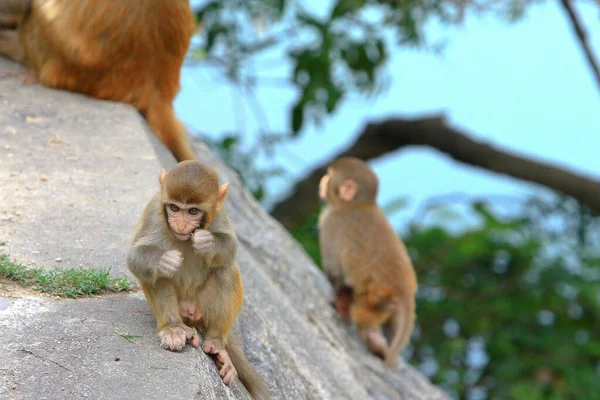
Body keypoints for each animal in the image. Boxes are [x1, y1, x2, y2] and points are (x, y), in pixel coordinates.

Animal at [127, 160, 268, 400]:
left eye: (192, 211)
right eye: (174, 208)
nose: (182, 225)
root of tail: (190, 313)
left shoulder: (219, 212)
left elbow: (230, 246)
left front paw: (207, 242)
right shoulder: (154, 209)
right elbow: (135, 257)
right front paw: (165, 260)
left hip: (204, 308)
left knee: (226, 269)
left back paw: (216, 343)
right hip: (182, 309)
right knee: (158, 275)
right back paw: (173, 328)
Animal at [318, 156, 418, 368]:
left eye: (330, 175)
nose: (322, 180)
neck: (358, 205)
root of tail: (403, 290)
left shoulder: (330, 222)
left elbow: (335, 272)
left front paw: (339, 305)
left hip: (372, 298)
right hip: (385, 305)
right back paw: (379, 343)